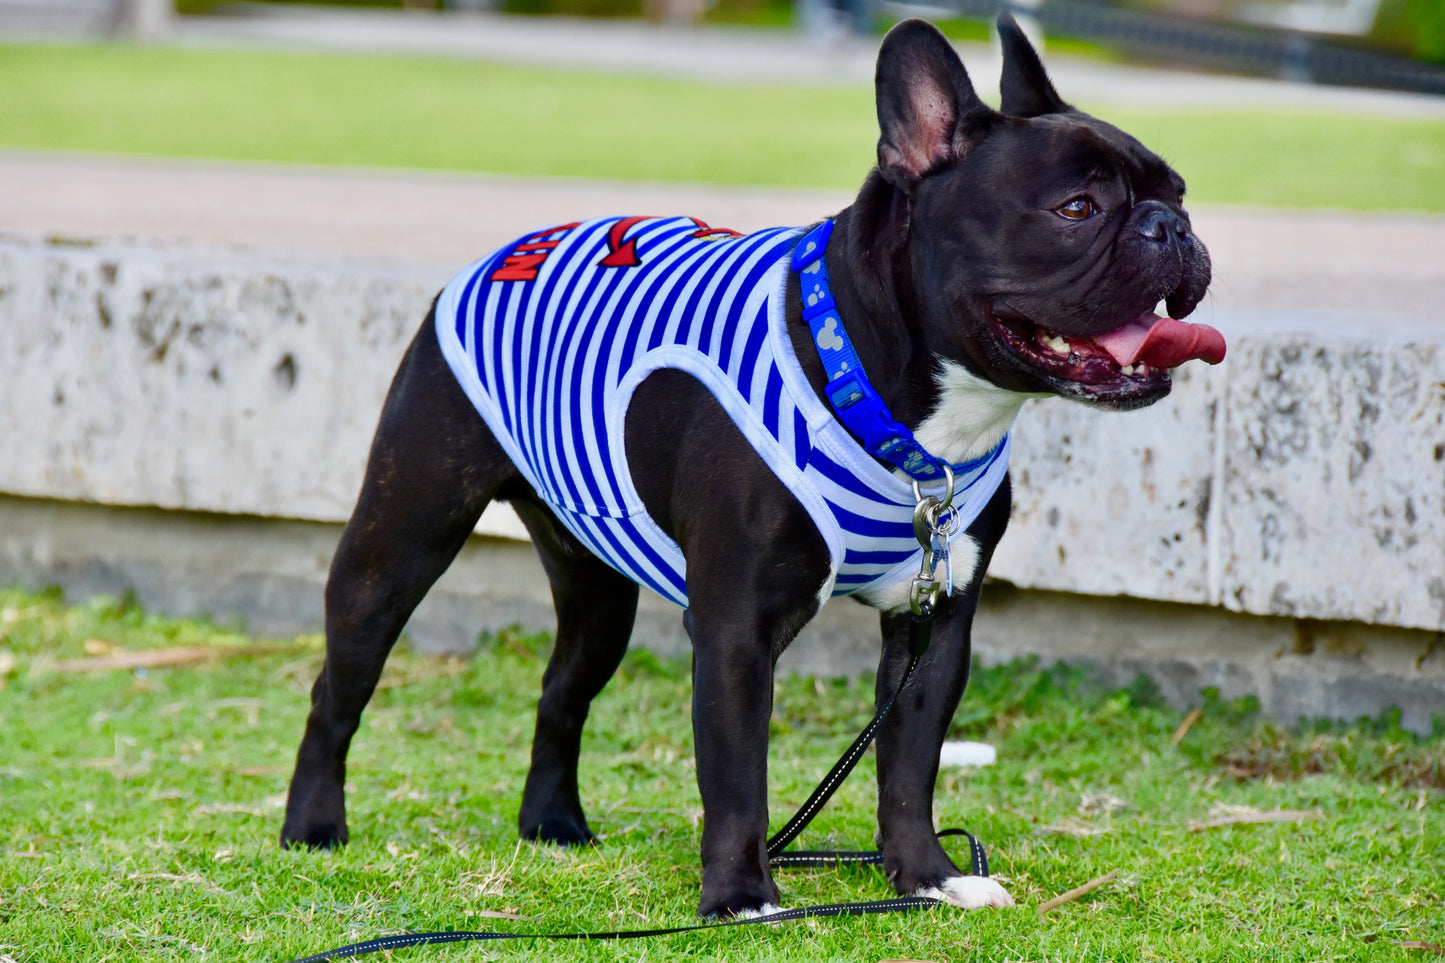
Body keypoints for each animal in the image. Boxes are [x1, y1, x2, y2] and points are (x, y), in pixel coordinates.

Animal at [278, 15, 1219, 913]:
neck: (886, 401)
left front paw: (927, 876)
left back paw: (552, 821)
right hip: (397, 541)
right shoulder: (735, 631)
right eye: (1076, 207)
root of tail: (499, 257)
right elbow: (737, 776)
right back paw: (313, 826)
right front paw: (740, 895)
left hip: (597, 592)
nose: (1170, 226)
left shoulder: (935, 623)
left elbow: (907, 766)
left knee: (562, 690)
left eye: (1177, 191)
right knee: (338, 687)